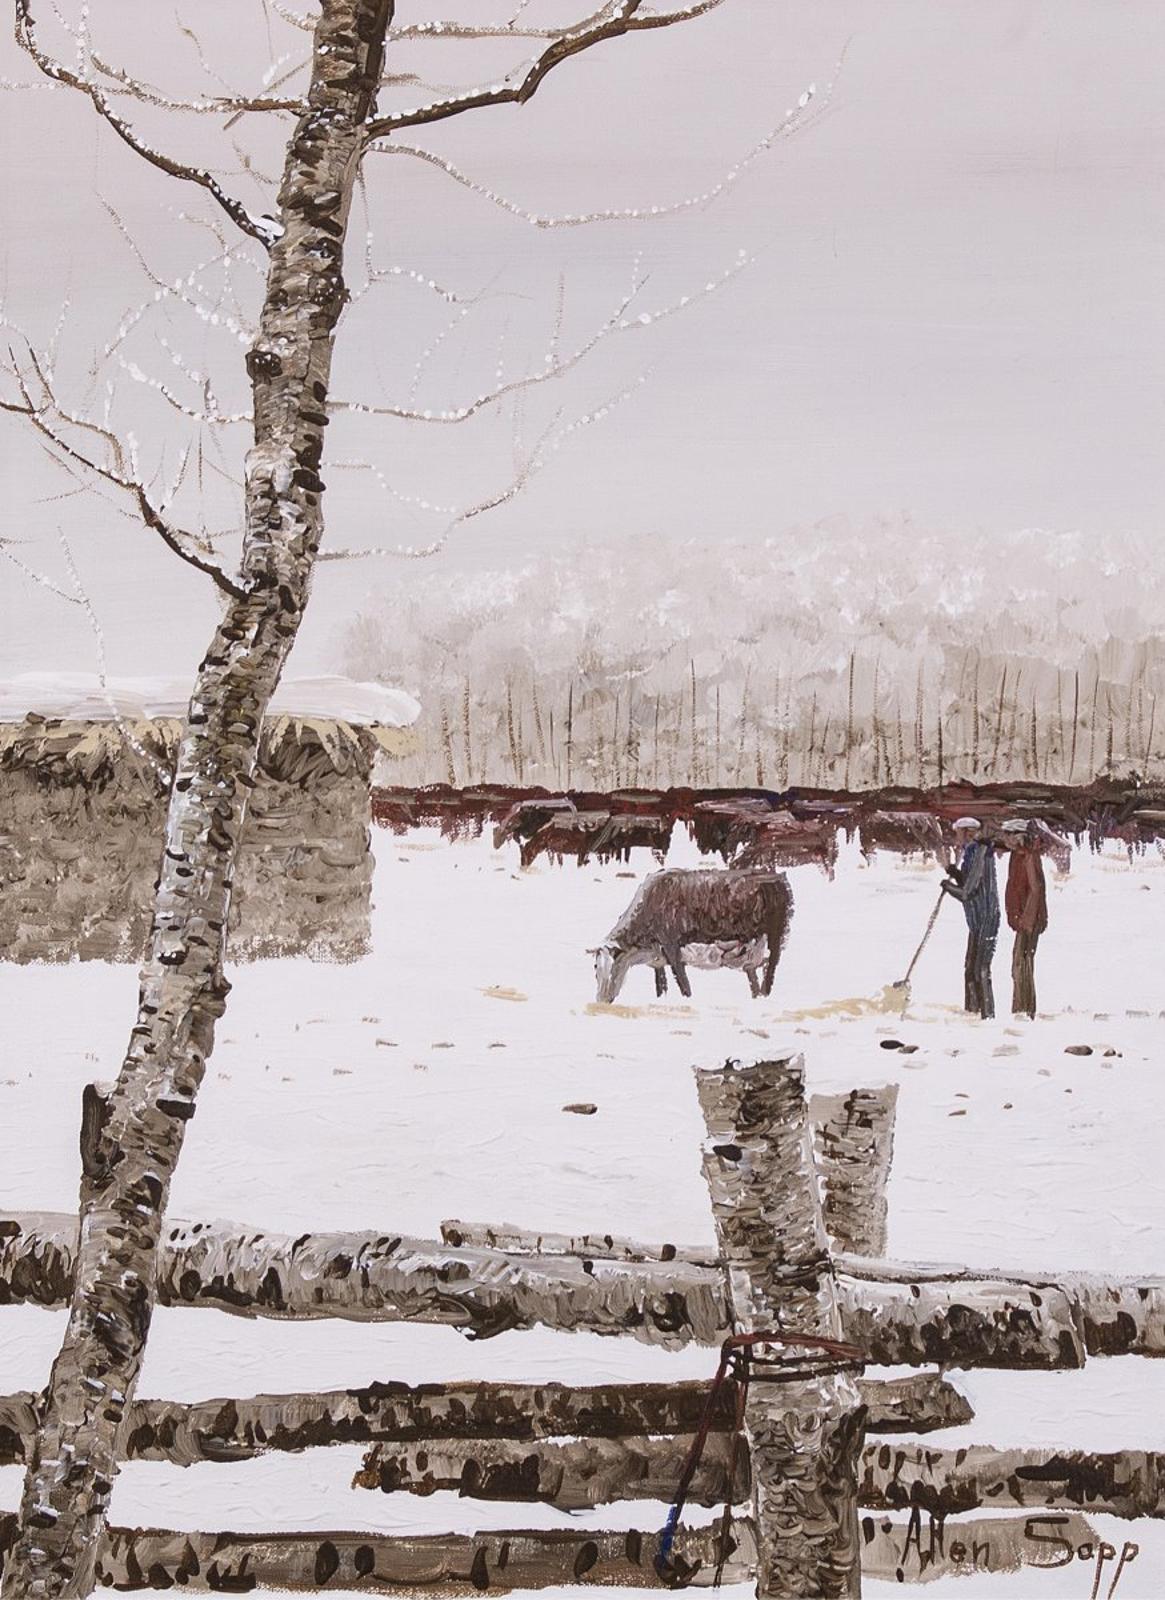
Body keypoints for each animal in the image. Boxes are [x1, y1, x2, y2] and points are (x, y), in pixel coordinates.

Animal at [592, 876, 790, 998]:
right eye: (595, 967)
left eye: (611, 966)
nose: (601, 1001)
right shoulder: (658, 959)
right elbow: (661, 987)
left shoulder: (672, 947)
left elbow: (684, 985)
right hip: (753, 949)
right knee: (753, 974)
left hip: (775, 937)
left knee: (770, 970)